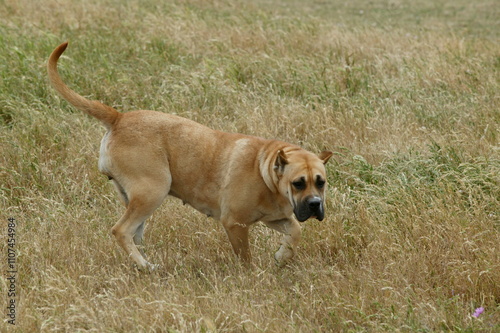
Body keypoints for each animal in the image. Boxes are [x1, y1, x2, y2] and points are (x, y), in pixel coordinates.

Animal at [48, 42, 334, 270]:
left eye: (321, 182)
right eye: (298, 183)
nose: (315, 204)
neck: (267, 173)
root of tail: (119, 118)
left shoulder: (275, 218)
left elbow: (295, 231)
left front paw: (282, 256)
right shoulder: (236, 224)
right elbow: (245, 258)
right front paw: (252, 276)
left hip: (136, 198)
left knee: (134, 235)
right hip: (154, 191)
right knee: (121, 231)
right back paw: (146, 267)